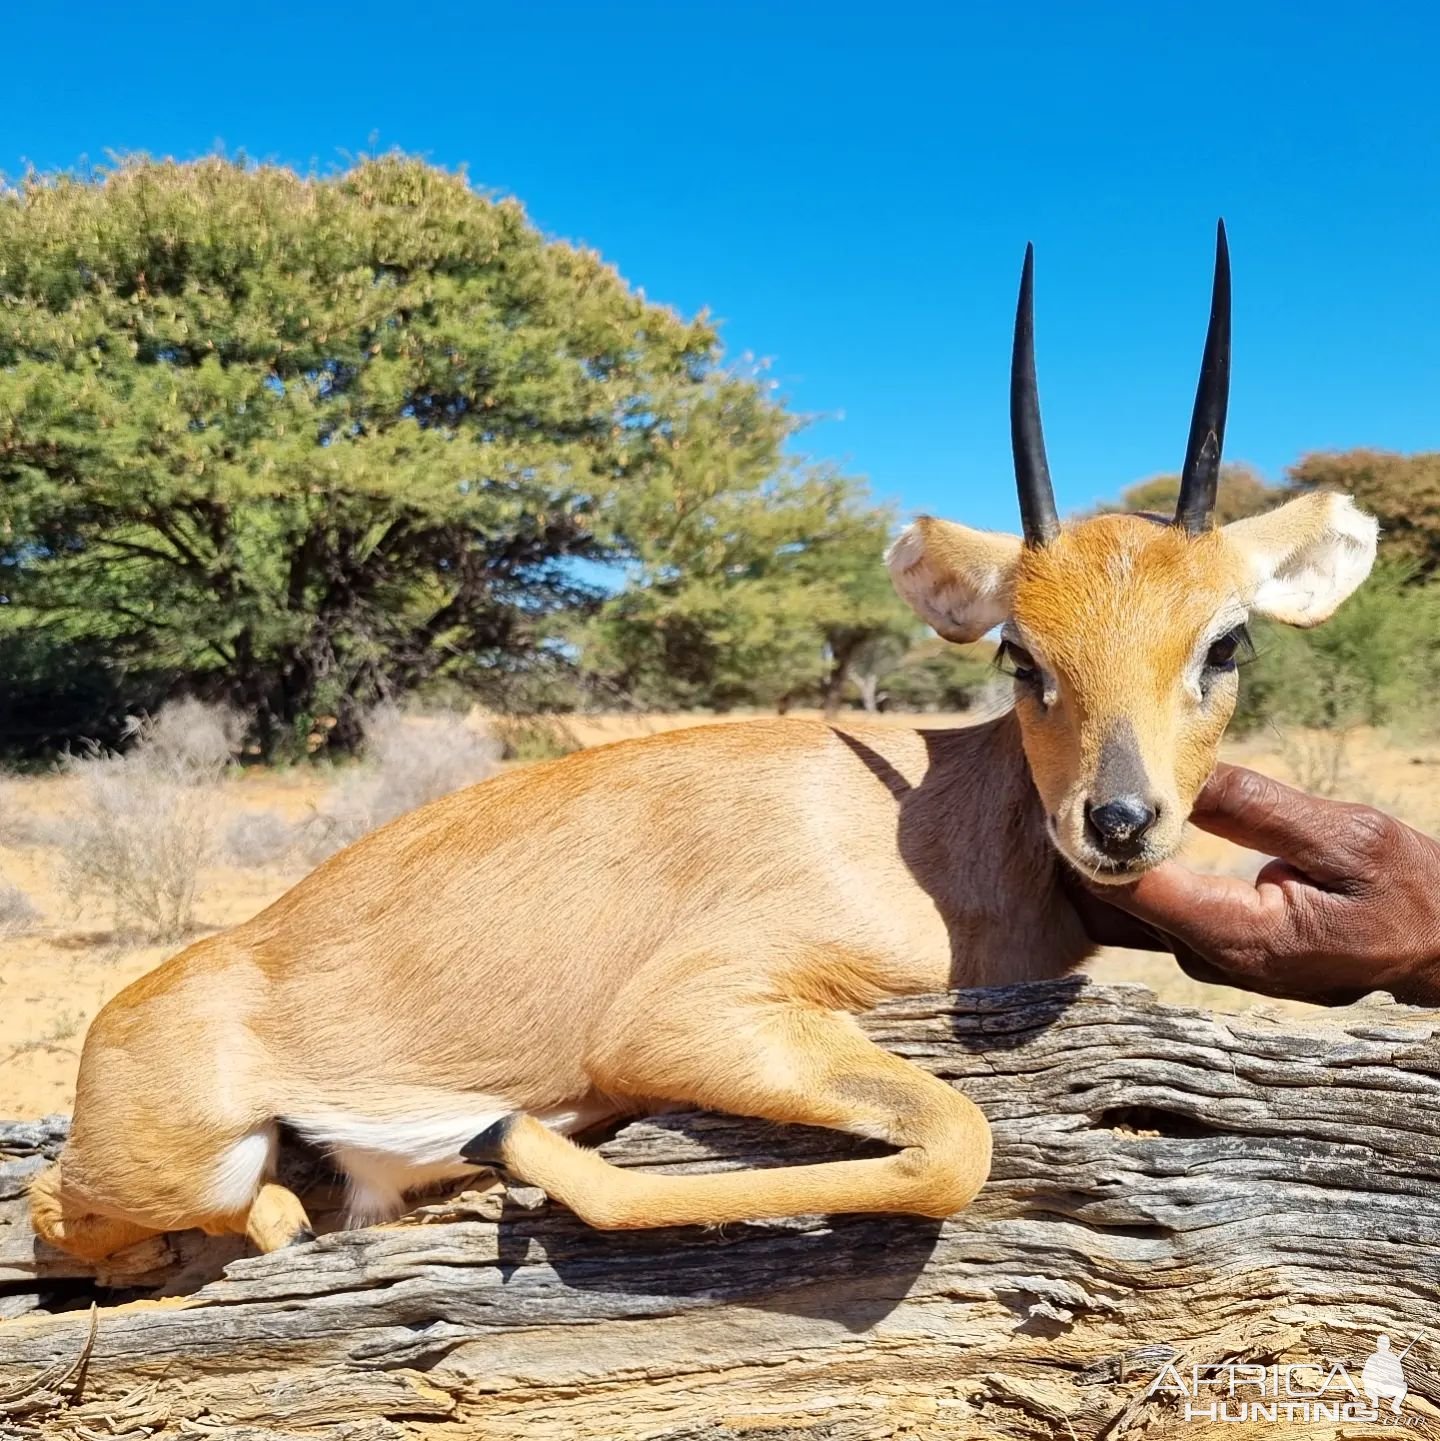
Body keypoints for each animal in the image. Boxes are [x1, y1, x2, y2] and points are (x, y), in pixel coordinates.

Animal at [39, 216, 1378, 1262]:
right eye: (1021, 655)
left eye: (1226, 642)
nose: (1117, 822)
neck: (939, 826)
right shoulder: (689, 1019)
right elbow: (955, 1141)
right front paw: (513, 1136)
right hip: (186, 1161)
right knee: (123, 1217)